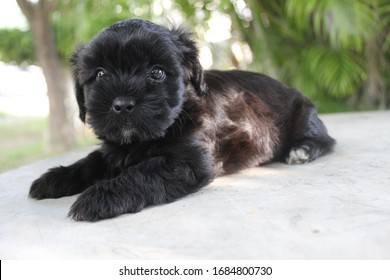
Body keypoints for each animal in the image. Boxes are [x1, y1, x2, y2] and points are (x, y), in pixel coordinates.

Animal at [29, 19, 336, 221]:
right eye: (101, 73)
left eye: (156, 72)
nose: (123, 104)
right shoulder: (113, 150)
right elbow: (89, 162)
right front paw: (55, 178)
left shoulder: (189, 161)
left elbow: (144, 171)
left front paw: (100, 196)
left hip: (303, 113)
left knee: (324, 138)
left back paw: (302, 150)